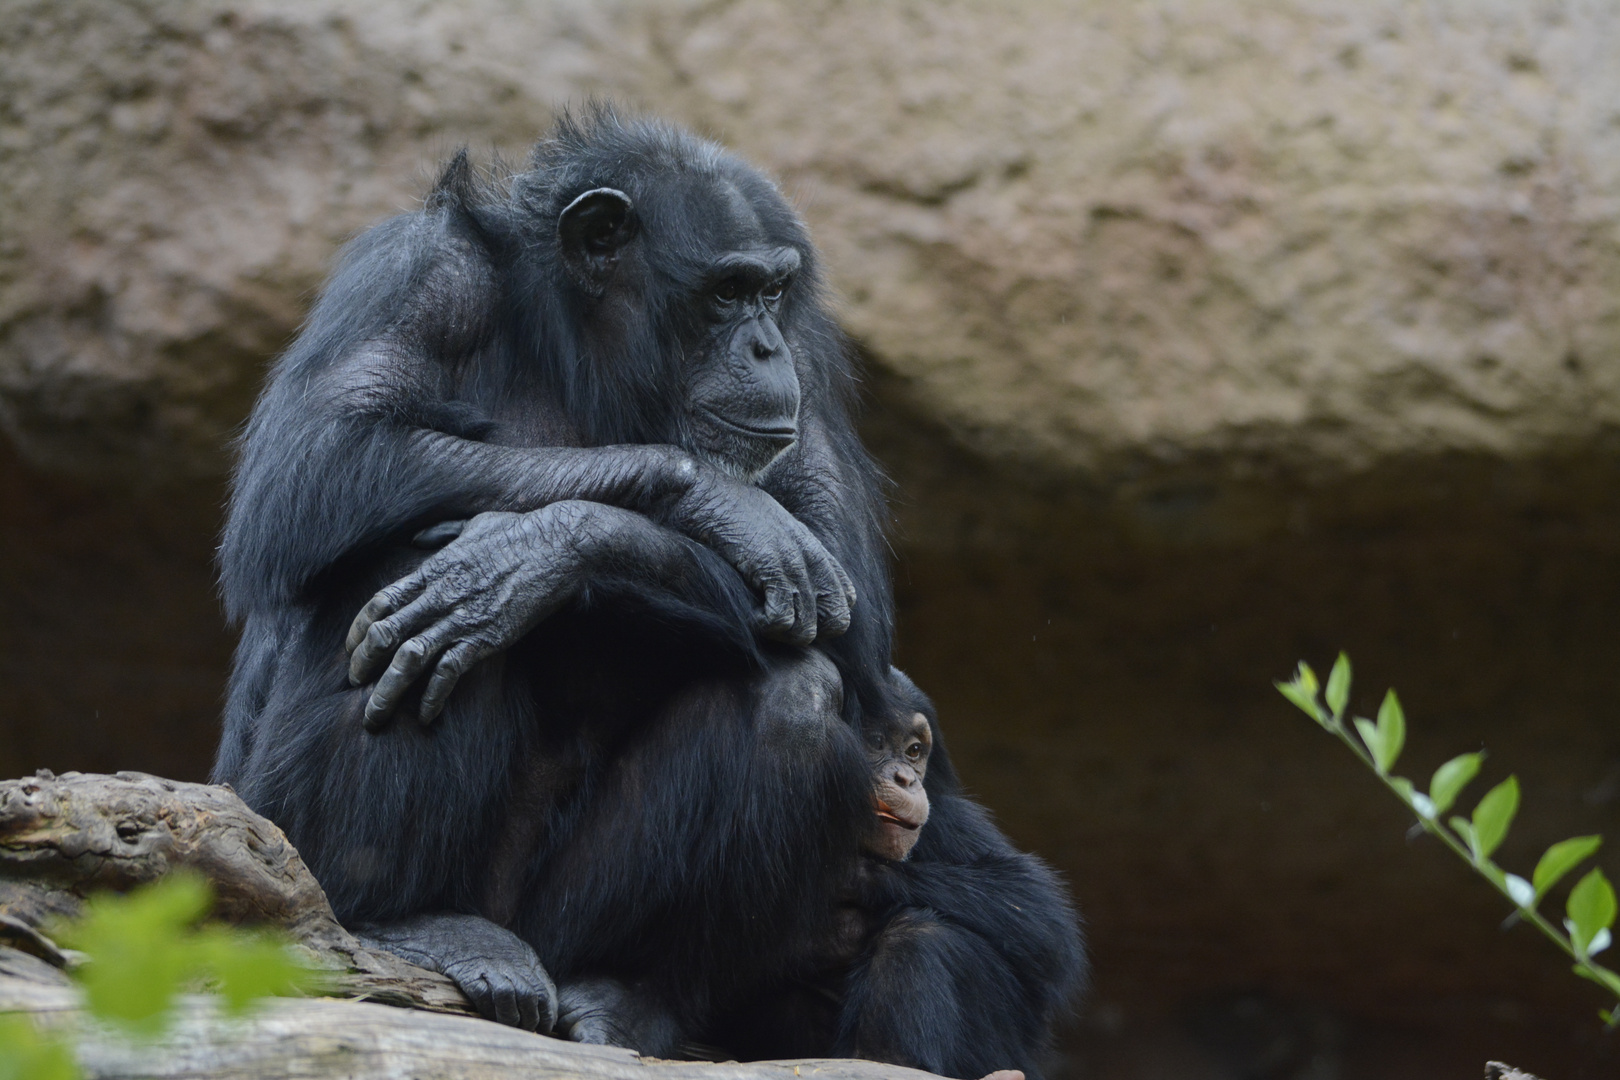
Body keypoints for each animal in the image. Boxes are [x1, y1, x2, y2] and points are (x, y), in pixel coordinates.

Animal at [212, 110, 1075, 1075]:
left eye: (772, 292)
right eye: (727, 292)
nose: (763, 344)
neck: (583, 349)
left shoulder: (808, 358)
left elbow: (851, 611)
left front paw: (545, 550)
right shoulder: (417, 275)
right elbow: (319, 453)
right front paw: (721, 505)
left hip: (560, 928)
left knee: (795, 698)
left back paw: (623, 995)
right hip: (278, 824)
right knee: (388, 560)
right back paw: (417, 922)